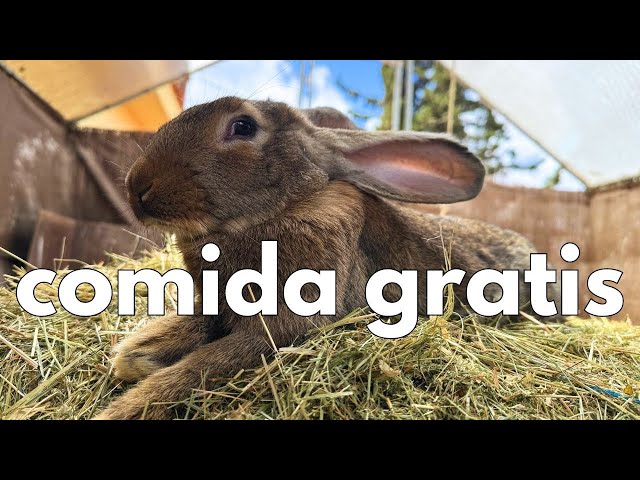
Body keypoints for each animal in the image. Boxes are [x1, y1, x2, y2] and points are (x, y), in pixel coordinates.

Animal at [95, 96, 561, 419]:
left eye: (243, 126)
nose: (137, 188)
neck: (282, 208)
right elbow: (193, 326)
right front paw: (134, 357)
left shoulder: (284, 328)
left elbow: (200, 368)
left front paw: (124, 404)